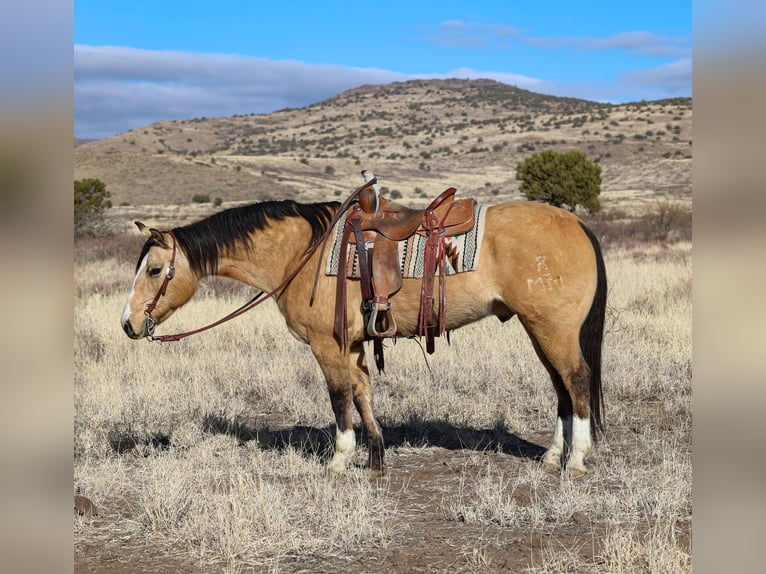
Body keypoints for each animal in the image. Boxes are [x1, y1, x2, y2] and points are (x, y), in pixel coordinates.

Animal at [121, 197, 606, 477]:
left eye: (154, 270)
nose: (128, 324)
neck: (303, 253)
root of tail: (577, 224)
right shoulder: (353, 345)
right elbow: (363, 392)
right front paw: (376, 457)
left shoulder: (327, 346)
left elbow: (339, 397)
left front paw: (339, 459)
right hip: (539, 329)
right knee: (561, 388)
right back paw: (552, 456)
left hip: (554, 329)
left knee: (577, 380)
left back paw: (577, 459)